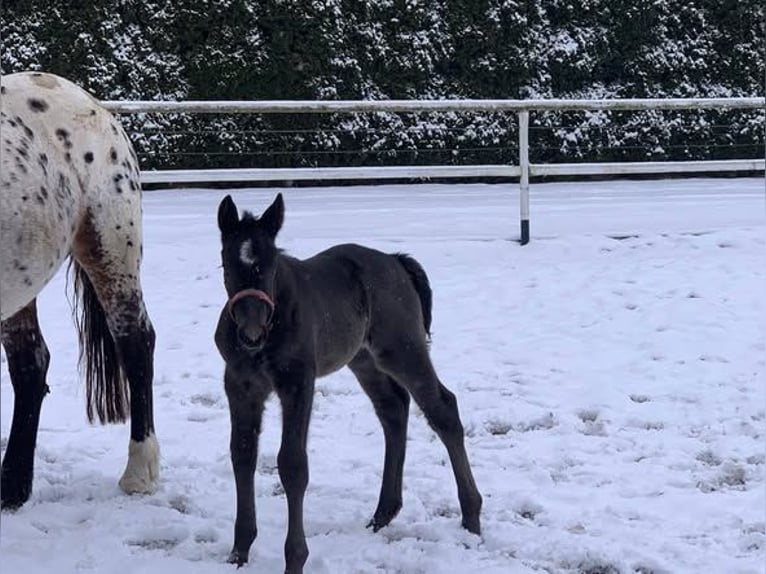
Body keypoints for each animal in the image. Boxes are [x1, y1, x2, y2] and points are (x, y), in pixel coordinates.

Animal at [214, 193, 482, 573]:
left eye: (270, 264)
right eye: (227, 264)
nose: (252, 334)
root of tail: (396, 261)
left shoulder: (298, 384)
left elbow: (293, 464)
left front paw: (295, 559)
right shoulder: (241, 386)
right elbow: (242, 454)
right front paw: (239, 551)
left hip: (402, 350)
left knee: (442, 408)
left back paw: (471, 518)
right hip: (364, 360)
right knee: (393, 409)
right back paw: (383, 513)